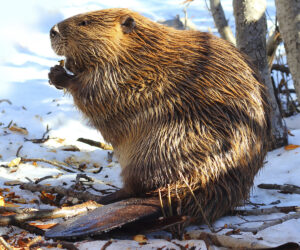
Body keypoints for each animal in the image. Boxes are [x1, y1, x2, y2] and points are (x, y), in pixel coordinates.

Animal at [48, 6, 270, 230]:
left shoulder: (123, 75)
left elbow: (95, 92)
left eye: (84, 23)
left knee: (136, 188)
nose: (52, 30)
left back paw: (102, 198)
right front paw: (58, 68)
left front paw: (58, 73)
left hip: (162, 146)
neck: (140, 52)